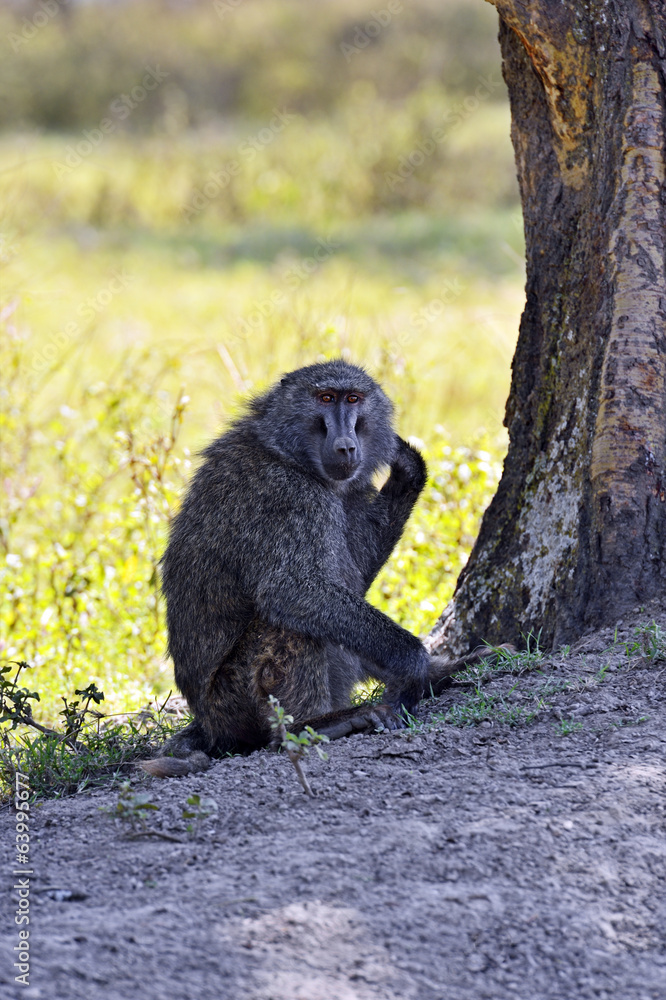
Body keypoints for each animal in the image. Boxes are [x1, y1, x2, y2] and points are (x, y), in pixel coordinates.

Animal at [141, 359, 460, 778]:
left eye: (353, 399)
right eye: (325, 398)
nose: (346, 445)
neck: (286, 452)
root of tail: (208, 724)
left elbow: (355, 574)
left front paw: (408, 467)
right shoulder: (289, 495)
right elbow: (292, 589)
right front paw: (411, 663)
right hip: (233, 702)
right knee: (291, 625)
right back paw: (314, 725)